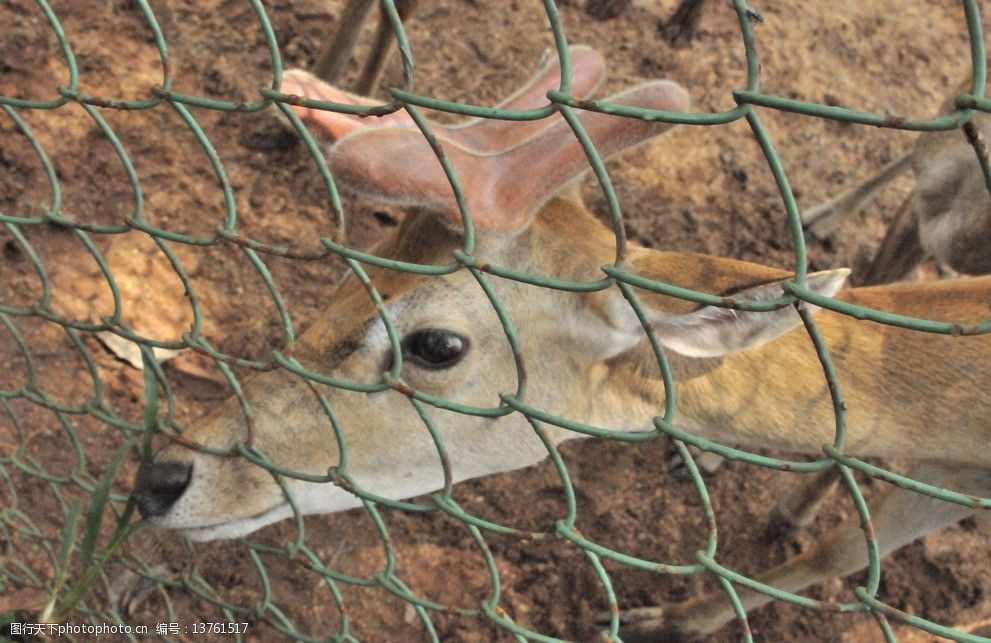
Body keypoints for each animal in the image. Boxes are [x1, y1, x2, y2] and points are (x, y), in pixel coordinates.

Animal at [134, 46, 991, 643]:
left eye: (436, 344)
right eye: (359, 262)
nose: (160, 478)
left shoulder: (958, 481)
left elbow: (840, 554)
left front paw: (658, 617)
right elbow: (840, 546)